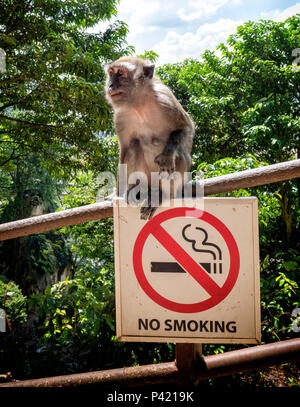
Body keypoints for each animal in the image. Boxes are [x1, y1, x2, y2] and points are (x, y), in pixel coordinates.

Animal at [105, 56, 195, 220]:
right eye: (111, 73)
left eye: (120, 73)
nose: (110, 85)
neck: (139, 104)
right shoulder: (120, 117)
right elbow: (125, 149)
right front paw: (115, 193)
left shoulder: (165, 100)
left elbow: (185, 127)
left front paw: (166, 156)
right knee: (134, 145)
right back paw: (137, 190)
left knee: (179, 156)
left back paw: (161, 195)